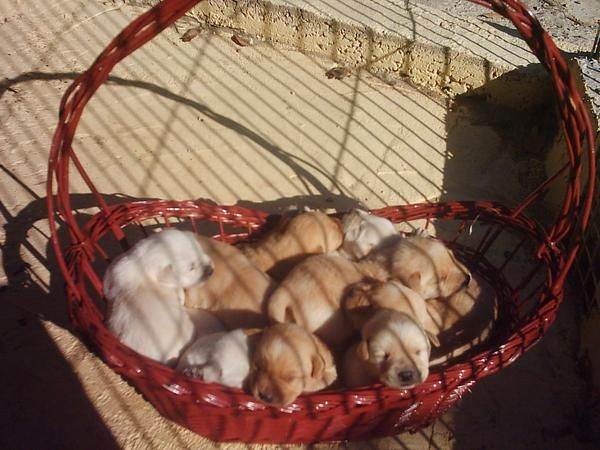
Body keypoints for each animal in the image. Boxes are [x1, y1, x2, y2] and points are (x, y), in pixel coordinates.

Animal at [103, 229, 220, 366]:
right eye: (191, 268)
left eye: (200, 251)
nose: (211, 270)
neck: (145, 264)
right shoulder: (172, 286)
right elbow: (179, 292)